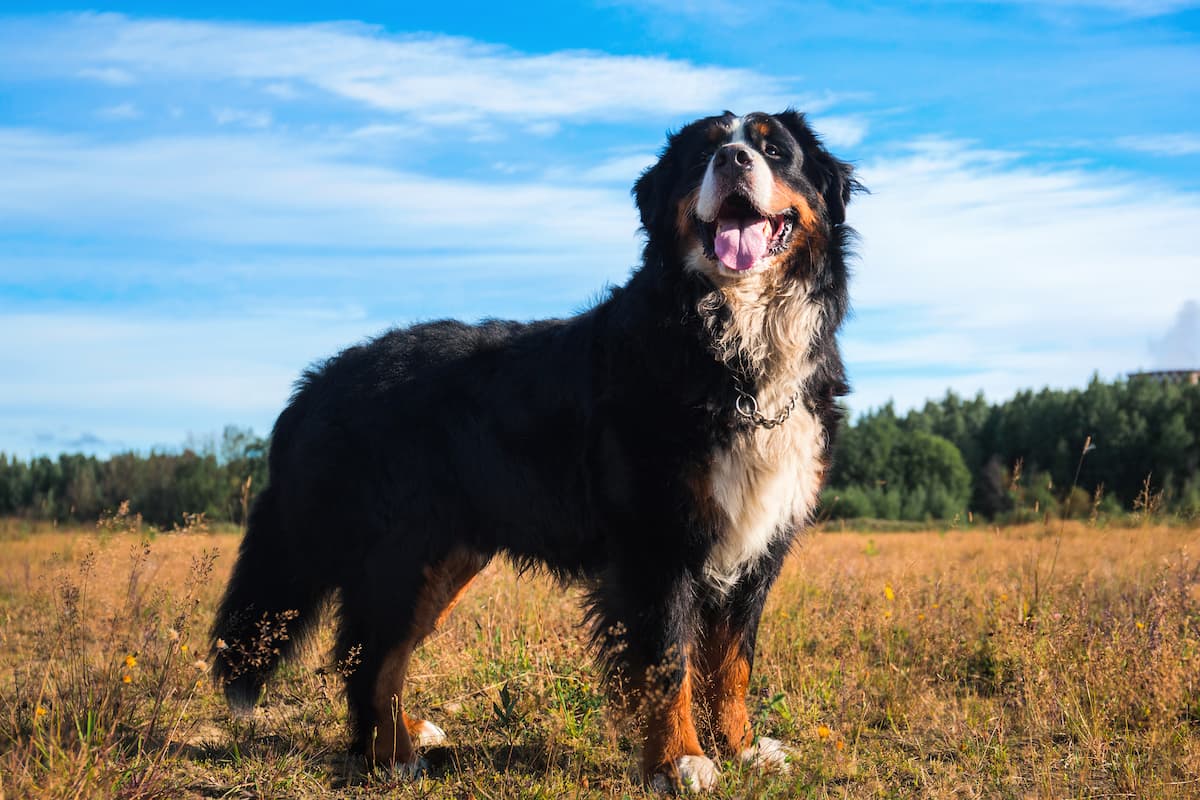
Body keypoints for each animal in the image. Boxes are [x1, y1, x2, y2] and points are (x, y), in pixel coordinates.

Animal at [211, 109, 859, 791]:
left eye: (773, 150)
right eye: (702, 153)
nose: (733, 160)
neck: (732, 345)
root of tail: (319, 381)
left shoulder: (756, 544)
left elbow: (732, 663)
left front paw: (740, 750)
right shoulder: (657, 545)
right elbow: (668, 666)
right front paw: (680, 762)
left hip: (445, 557)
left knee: (385, 655)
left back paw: (407, 738)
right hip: (399, 551)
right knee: (368, 658)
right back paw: (390, 759)